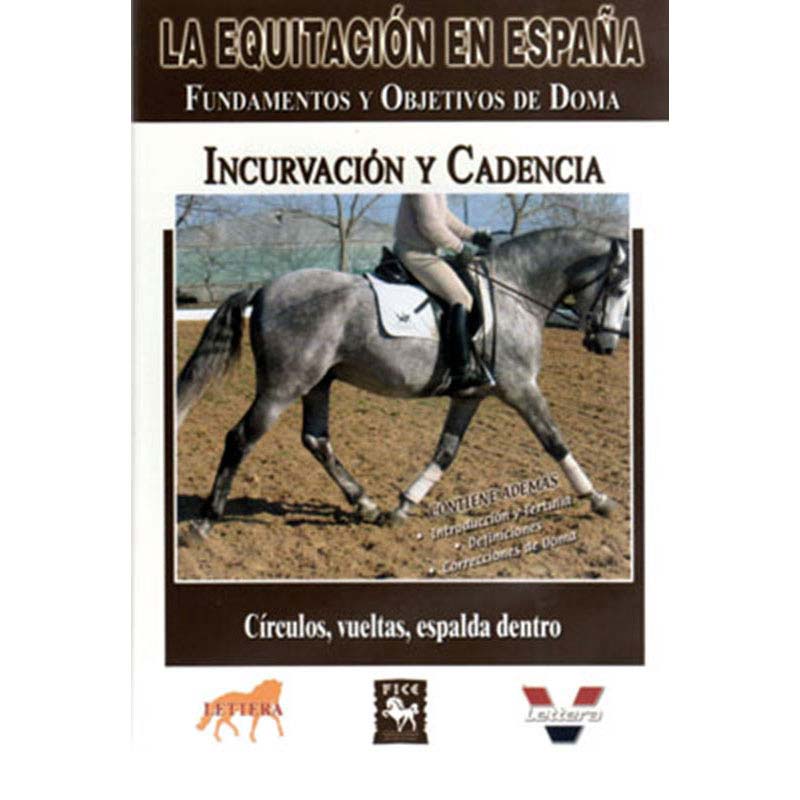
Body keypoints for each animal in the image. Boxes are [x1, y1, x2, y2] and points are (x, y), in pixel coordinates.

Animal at [177, 226, 631, 542]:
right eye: (621, 286)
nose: (607, 344)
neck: (515, 293)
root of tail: (266, 288)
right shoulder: (521, 388)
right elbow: (554, 440)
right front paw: (598, 499)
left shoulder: (471, 394)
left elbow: (446, 453)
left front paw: (403, 507)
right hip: (282, 387)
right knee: (241, 438)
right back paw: (205, 522)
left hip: (318, 383)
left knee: (316, 439)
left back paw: (366, 505)